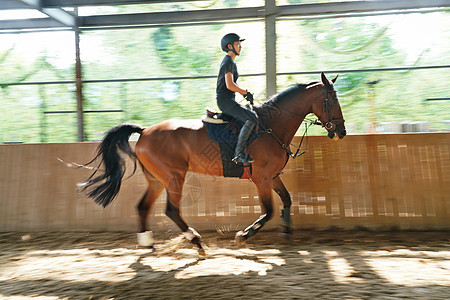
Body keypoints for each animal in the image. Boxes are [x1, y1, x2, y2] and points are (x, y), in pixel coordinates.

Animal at [79, 72, 346, 251]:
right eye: (332, 99)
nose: (341, 131)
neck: (271, 126)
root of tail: (144, 131)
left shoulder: (272, 176)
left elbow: (287, 200)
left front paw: (286, 231)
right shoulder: (261, 179)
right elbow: (268, 210)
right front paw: (243, 235)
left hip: (156, 179)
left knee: (143, 207)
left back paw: (147, 244)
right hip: (174, 177)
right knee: (171, 210)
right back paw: (195, 240)